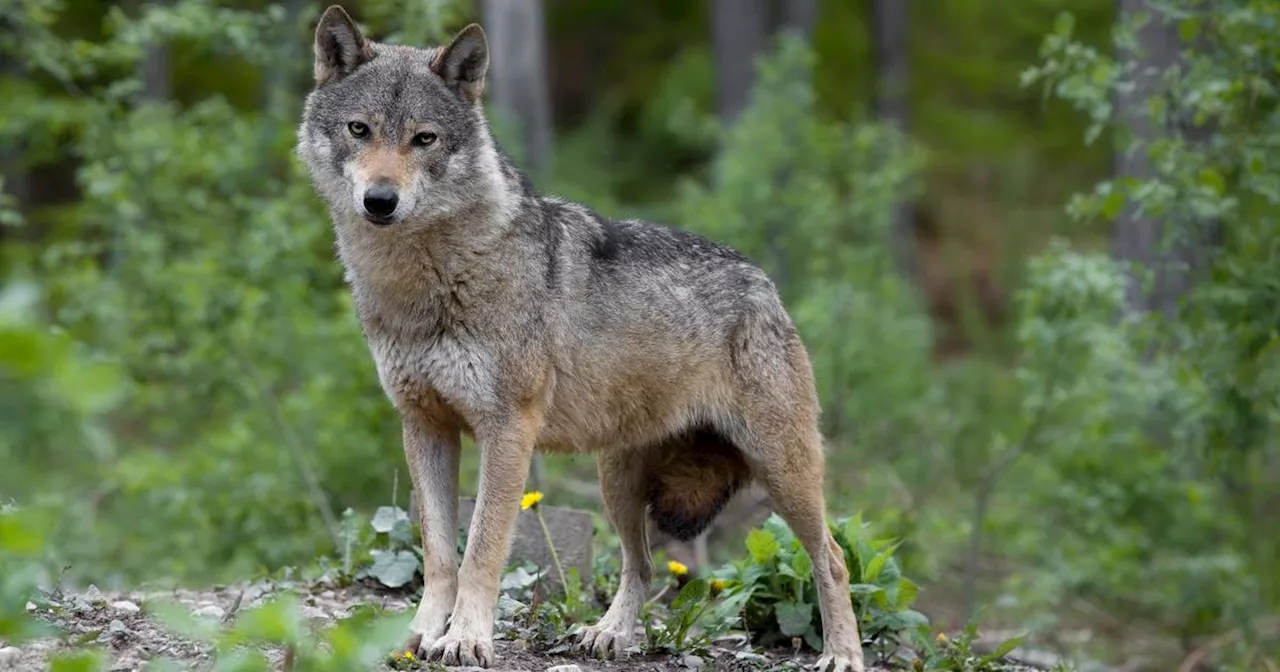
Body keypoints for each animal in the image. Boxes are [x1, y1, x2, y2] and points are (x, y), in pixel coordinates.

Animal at [294, 6, 865, 670]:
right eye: (359, 130)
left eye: (424, 139)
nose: (380, 200)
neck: (424, 283)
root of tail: (764, 283)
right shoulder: (424, 425)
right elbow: (439, 554)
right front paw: (420, 635)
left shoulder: (507, 430)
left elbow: (481, 550)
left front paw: (465, 639)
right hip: (616, 482)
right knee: (642, 565)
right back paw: (609, 634)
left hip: (783, 473)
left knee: (831, 558)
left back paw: (842, 654)